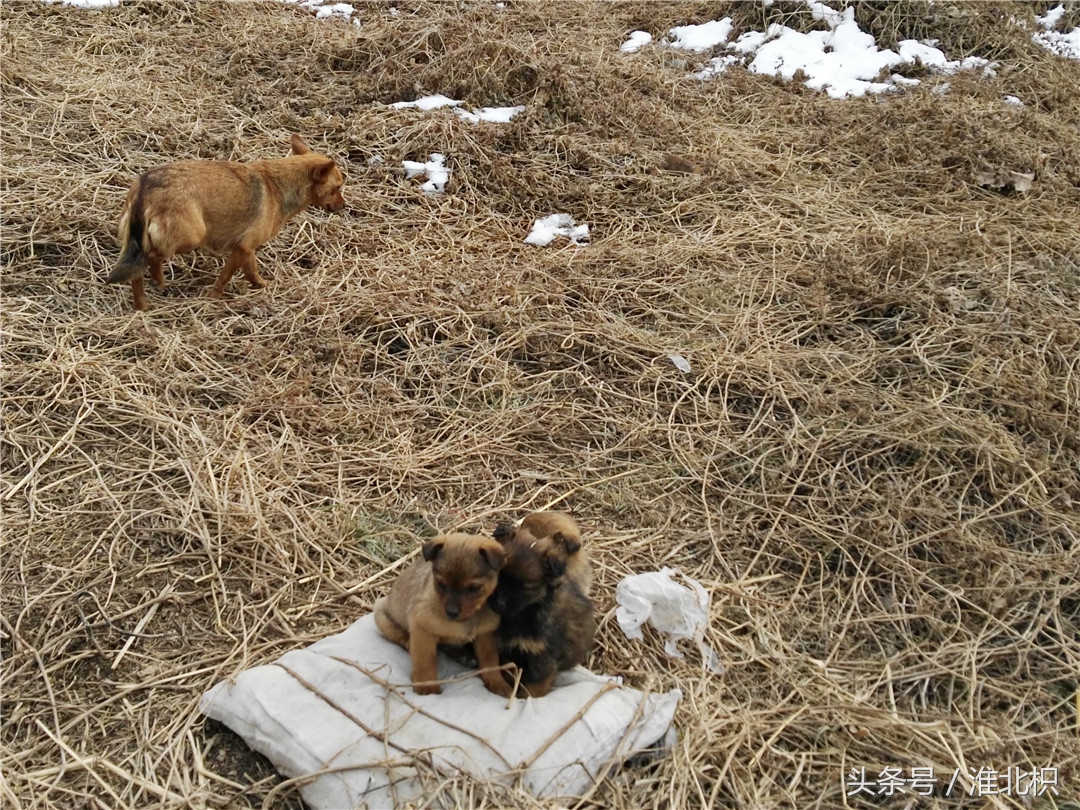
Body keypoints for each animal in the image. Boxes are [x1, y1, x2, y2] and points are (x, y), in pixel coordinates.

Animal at [103, 133, 343, 311]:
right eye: (338, 187)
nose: (344, 206)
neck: (280, 185)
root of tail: (145, 188)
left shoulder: (245, 248)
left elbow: (252, 270)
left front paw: (261, 285)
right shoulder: (242, 248)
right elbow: (224, 278)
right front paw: (213, 299)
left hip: (137, 243)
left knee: (136, 275)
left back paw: (141, 307)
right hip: (192, 236)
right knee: (153, 256)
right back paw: (159, 280)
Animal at [373, 533, 511, 699]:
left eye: (473, 588)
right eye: (440, 583)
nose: (451, 612)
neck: (466, 620)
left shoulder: (486, 636)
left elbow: (490, 662)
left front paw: (497, 682)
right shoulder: (421, 629)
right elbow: (426, 661)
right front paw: (427, 686)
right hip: (382, 618)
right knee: (401, 637)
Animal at [488, 520, 596, 699]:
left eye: (526, 587)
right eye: (498, 576)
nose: (500, 603)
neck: (525, 614)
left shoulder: (542, 653)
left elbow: (537, 681)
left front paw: (529, 696)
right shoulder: (506, 648)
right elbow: (508, 670)